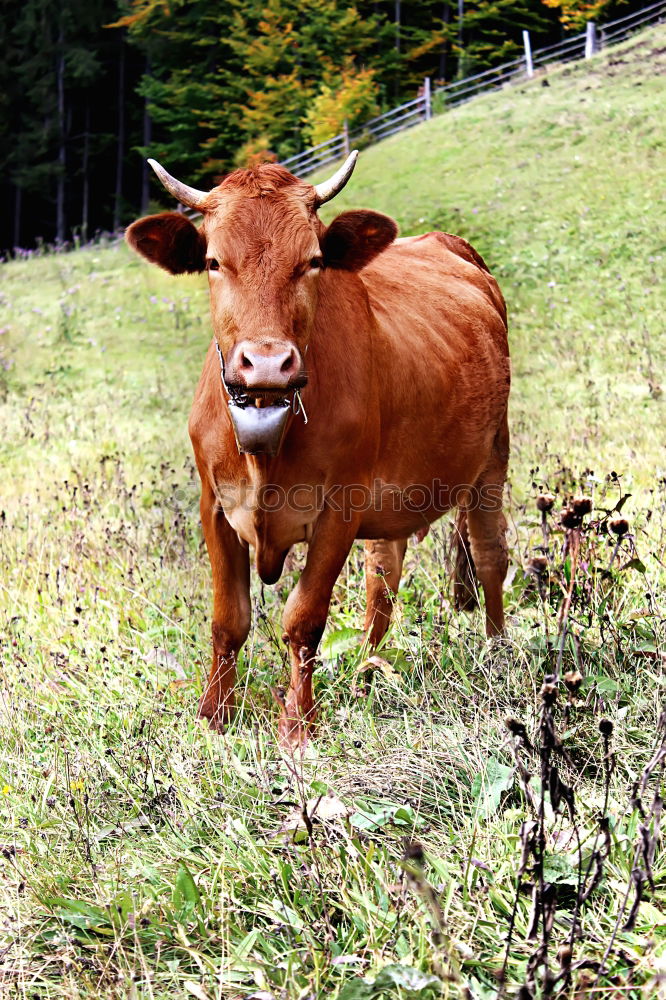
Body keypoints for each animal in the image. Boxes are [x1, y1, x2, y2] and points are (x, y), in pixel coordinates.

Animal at [126, 152, 508, 748]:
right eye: (213, 262)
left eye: (312, 261)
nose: (266, 363)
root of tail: (445, 241)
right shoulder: (213, 503)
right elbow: (227, 619)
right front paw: (214, 715)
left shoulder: (339, 509)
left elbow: (303, 617)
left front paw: (296, 724)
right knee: (383, 579)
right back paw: (367, 669)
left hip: (491, 457)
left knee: (489, 555)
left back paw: (495, 654)